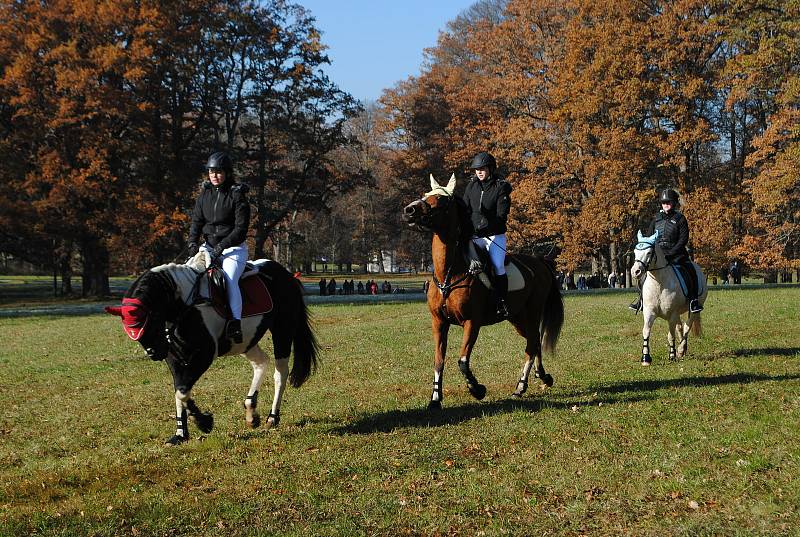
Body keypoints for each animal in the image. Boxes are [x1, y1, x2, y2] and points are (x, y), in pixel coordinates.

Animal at [105, 251, 318, 444]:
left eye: (152, 320)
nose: (154, 353)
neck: (184, 305)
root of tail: (286, 275)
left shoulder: (204, 355)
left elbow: (182, 390)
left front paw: (203, 422)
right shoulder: (174, 357)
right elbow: (179, 389)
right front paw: (181, 433)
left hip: (283, 331)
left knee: (280, 373)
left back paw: (272, 417)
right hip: (245, 341)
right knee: (261, 363)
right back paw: (251, 411)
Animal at [400, 174, 564, 408]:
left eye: (442, 201)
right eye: (426, 195)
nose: (409, 210)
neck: (449, 274)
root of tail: (539, 262)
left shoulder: (471, 323)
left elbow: (462, 361)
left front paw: (477, 390)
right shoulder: (439, 323)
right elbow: (439, 361)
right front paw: (435, 399)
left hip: (532, 312)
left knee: (533, 342)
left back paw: (522, 385)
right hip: (517, 318)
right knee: (533, 342)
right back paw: (538, 378)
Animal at [632, 229, 708, 364]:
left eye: (649, 252)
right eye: (635, 252)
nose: (635, 272)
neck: (659, 283)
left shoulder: (671, 315)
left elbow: (670, 335)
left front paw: (672, 355)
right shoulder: (649, 312)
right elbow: (646, 331)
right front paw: (646, 357)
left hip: (694, 308)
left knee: (687, 326)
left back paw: (681, 349)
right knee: (680, 327)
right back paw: (682, 351)